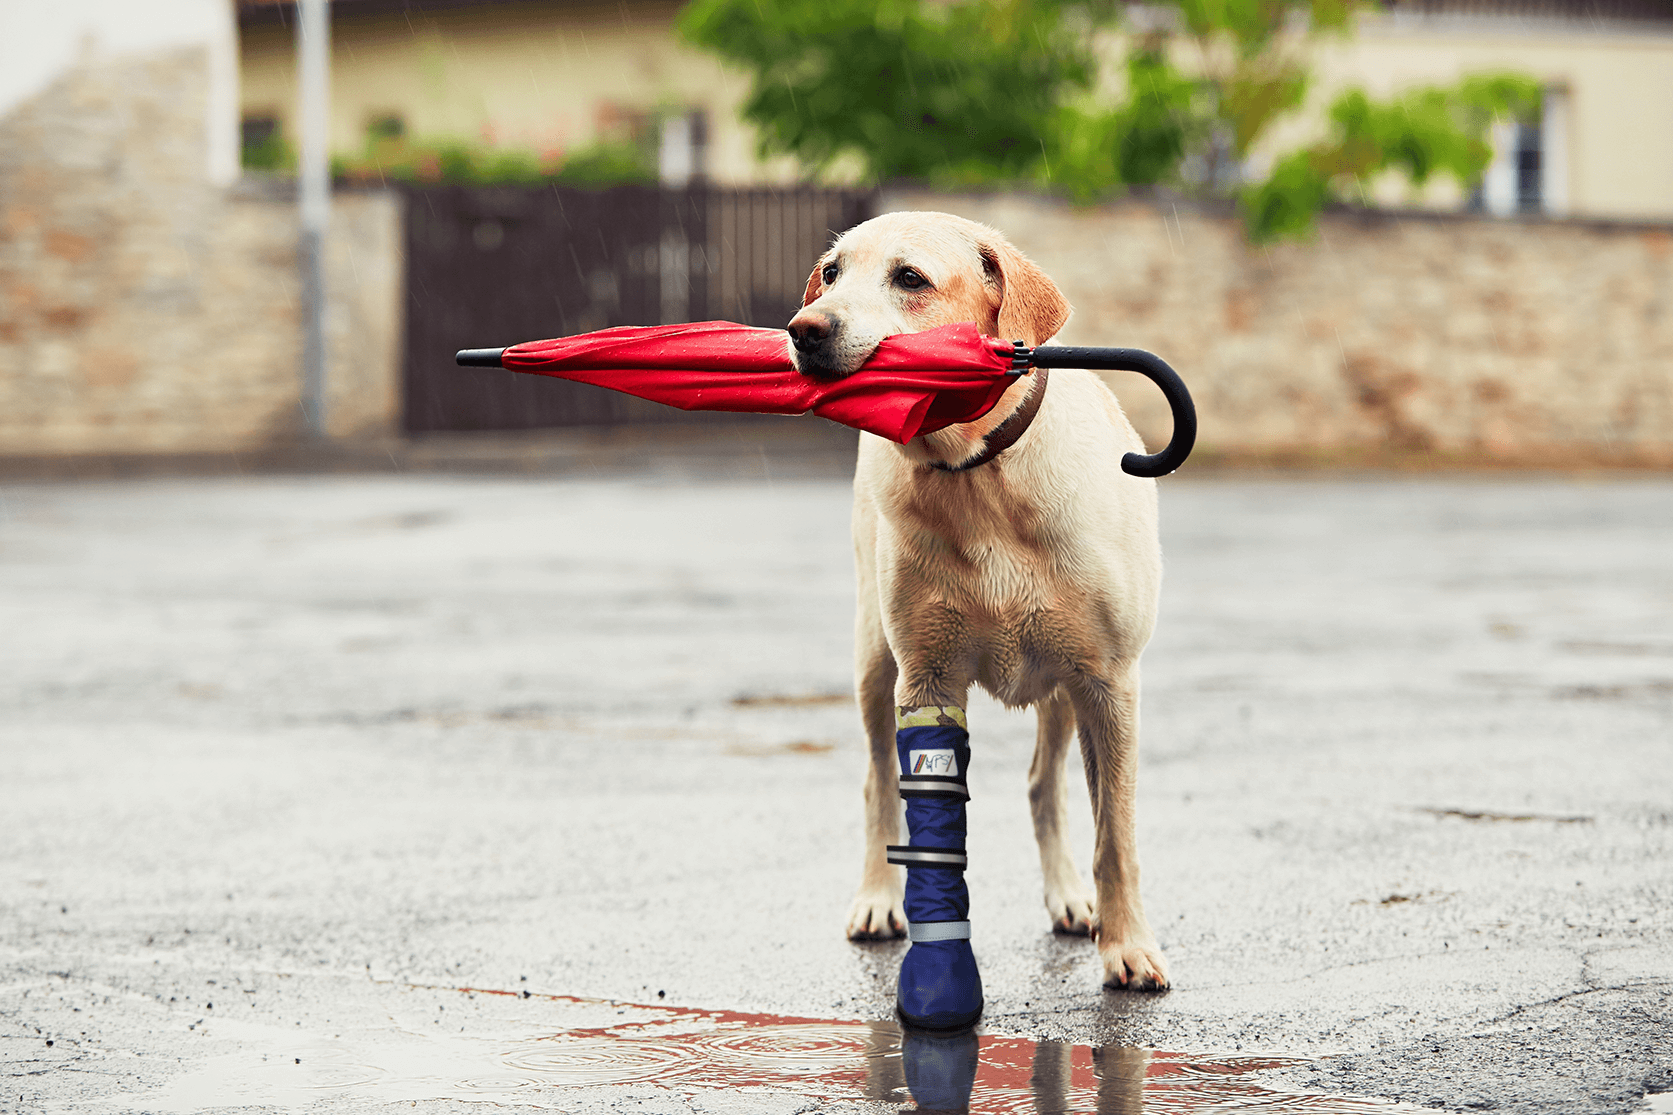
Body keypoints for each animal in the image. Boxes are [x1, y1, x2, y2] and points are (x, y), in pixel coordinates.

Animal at [789, 210, 1171, 991]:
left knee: (1042, 784)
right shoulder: (928, 677)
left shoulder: (1109, 681)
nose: (803, 328)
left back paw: (1068, 896)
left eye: (910, 278)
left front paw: (1127, 944)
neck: (979, 474)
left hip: (1063, 687)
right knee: (878, 785)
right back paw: (878, 897)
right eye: (832, 273)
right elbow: (919, 812)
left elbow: (1114, 832)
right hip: (875, 661)